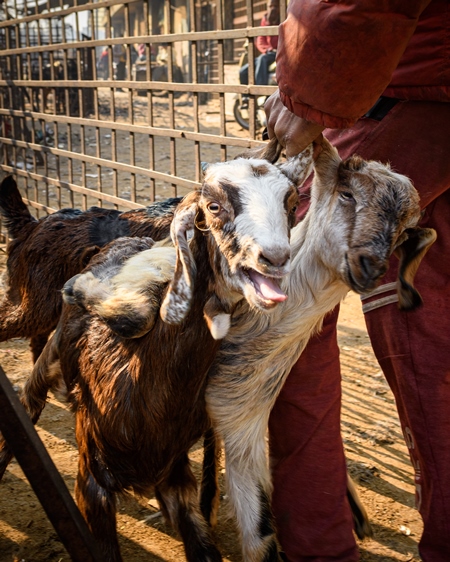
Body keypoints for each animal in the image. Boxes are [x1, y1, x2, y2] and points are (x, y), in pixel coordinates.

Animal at [0, 149, 306, 560]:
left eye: (292, 205)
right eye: (213, 206)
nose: (273, 259)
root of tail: (33, 225)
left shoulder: (177, 481)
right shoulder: (91, 483)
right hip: (30, 308)